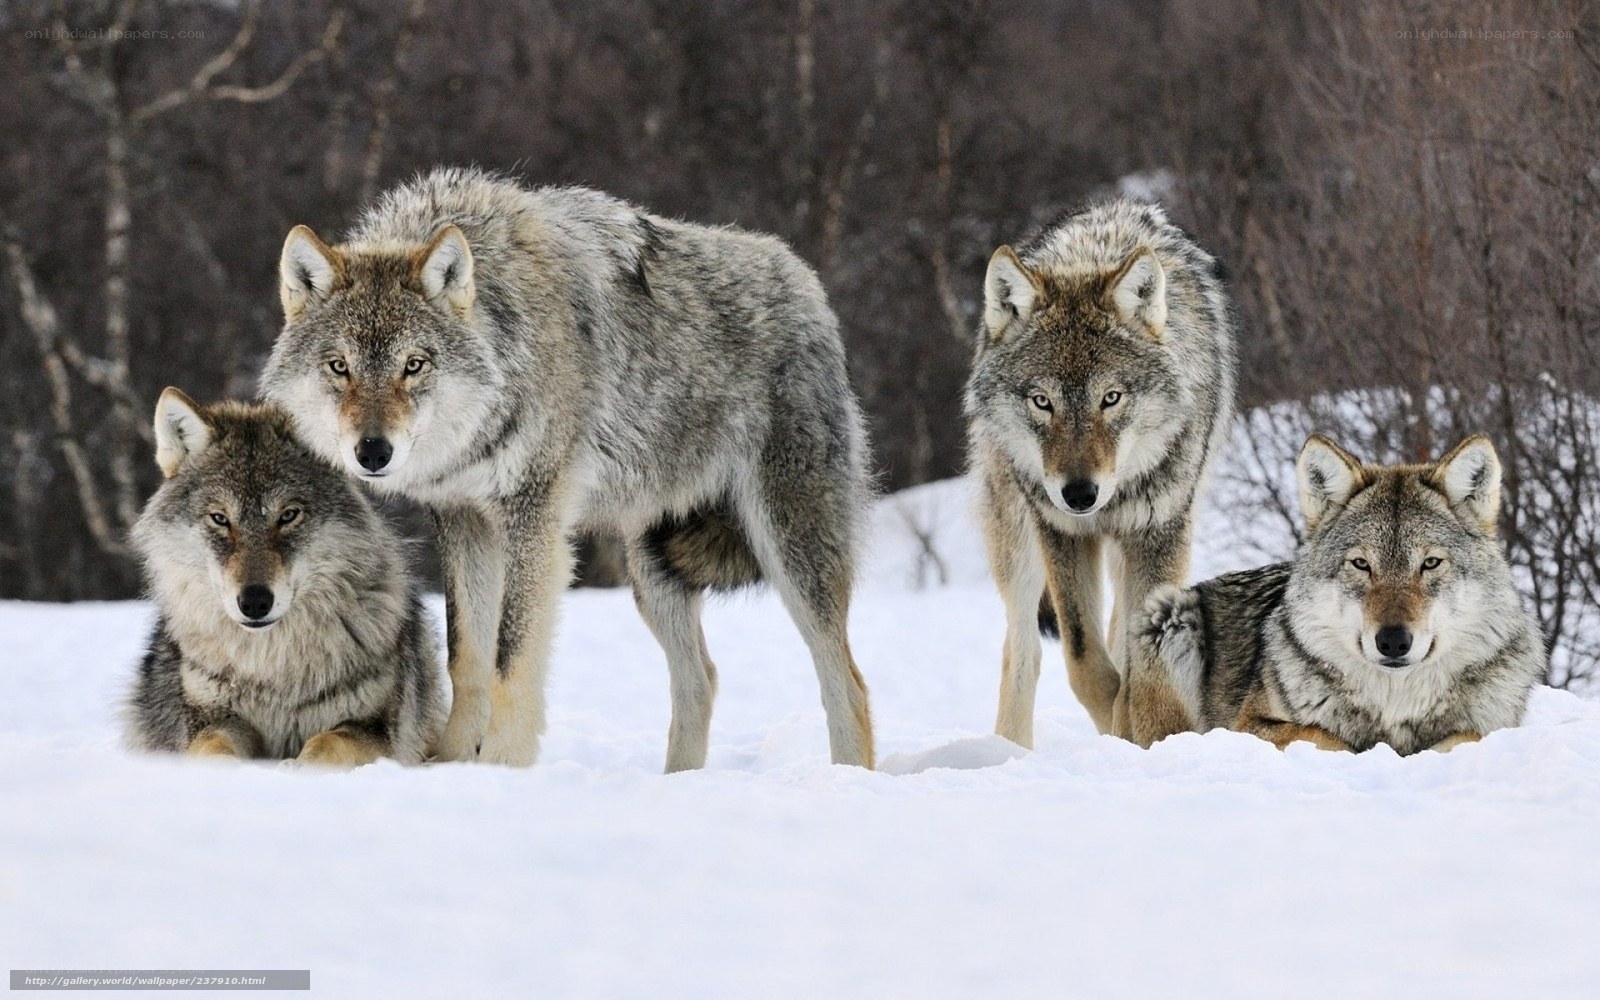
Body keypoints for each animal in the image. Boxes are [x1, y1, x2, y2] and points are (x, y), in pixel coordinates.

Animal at [125, 388, 444, 766]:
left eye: (288, 515)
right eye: (220, 519)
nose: (254, 602)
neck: (273, 669)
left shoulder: (374, 729)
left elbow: (327, 743)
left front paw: (298, 768)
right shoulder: (212, 719)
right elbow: (213, 748)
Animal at [260, 167, 874, 770]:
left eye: (414, 365)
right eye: (339, 366)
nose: (373, 452)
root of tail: (806, 282)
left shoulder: (534, 519)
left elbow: (510, 660)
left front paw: (501, 768)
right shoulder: (463, 520)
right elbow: (467, 657)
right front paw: (453, 765)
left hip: (790, 549)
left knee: (847, 682)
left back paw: (847, 776)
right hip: (653, 571)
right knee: (701, 679)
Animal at [965, 200, 1235, 747]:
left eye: (1110, 398)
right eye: (1041, 401)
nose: (1079, 494)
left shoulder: (1160, 532)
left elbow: (1137, 661)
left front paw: (1137, 732)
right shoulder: (1061, 532)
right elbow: (1084, 660)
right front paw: (1116, 724)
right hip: (1017, 539)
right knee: (1022, 648)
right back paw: (1009, 750)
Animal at [1138, 434, 1545, 754]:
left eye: (1430, 563)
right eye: (1361, 564)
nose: (1393, 641)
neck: (1395, 704)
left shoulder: (1493, 727)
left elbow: (1468, 736)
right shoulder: (1249, 725)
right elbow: (1325, 736)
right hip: (1169, 615)